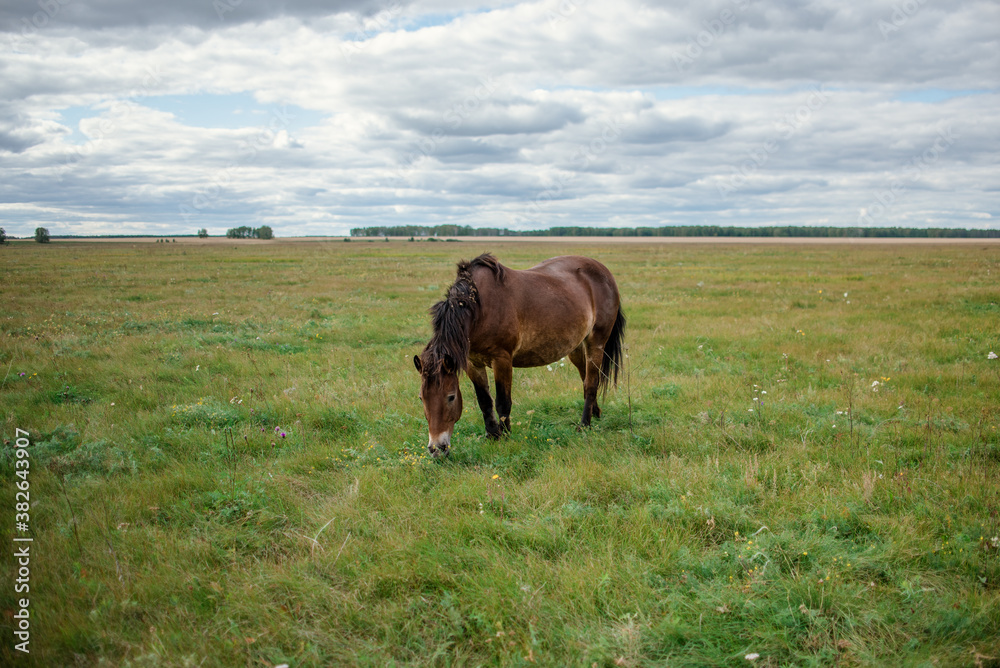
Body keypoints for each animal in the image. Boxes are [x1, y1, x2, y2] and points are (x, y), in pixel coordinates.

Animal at [414, 253, 624, 456]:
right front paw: (492, 436)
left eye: (450, 397)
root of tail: (604, 272)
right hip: (577, 348)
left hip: (596, 343)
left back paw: (584, 425)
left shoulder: (502, 360)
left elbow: (502, 402)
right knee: (586, 377)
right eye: (421, 398)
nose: (436, 449)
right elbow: (484, 401)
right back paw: (595, 413)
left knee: (591, 383)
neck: (479, 310)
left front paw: (505, 437)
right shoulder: (472, 363)